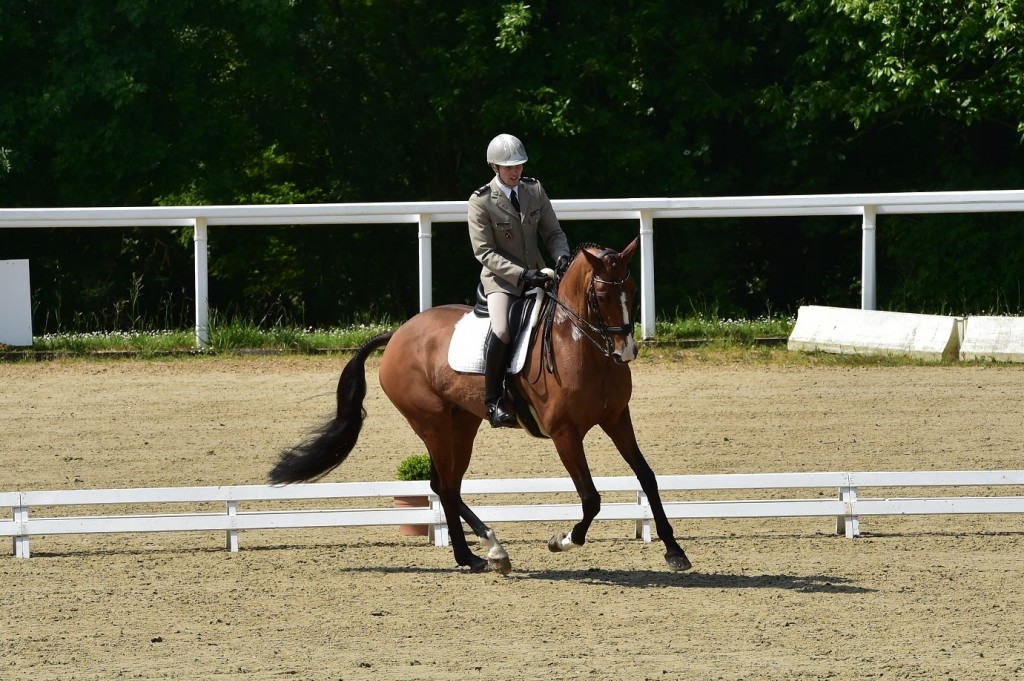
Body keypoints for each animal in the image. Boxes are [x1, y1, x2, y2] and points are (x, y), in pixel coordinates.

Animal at [268, 238, 692, 573]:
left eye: (632, 288)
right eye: (600, 295)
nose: (626, 351)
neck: (580, 343)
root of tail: (399, 333)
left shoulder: (617, 418)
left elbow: (647, 478)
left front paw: (674, 551)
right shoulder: (564, 433)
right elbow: (590, 497)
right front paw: (563, 540)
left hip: (462, 423)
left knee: (445, 485)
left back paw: (476, 554)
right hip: (432, 423)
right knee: (445, 486)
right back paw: (488, 549)